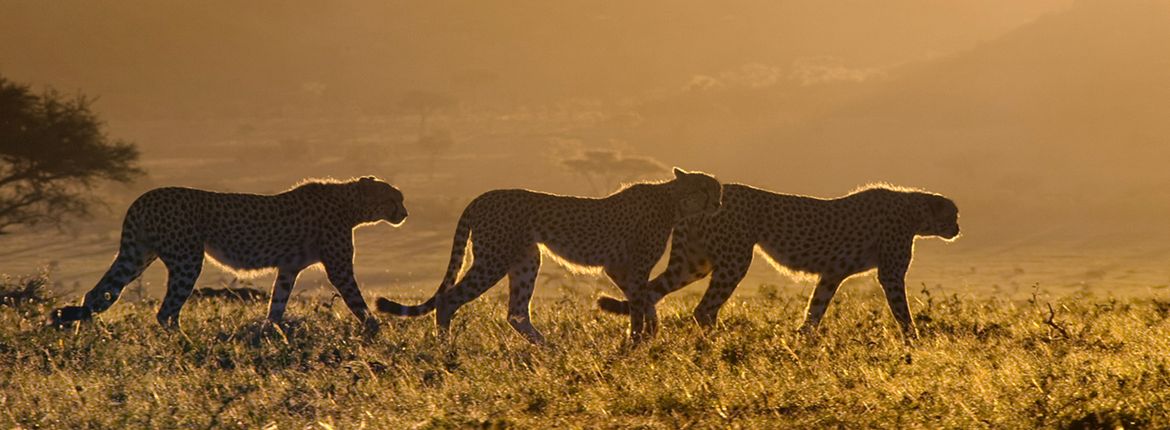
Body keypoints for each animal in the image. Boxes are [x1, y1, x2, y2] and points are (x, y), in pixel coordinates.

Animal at [50, 176, 407, 334]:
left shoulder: (288, 269)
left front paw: (270, 333)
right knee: (166, 312)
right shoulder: (339, 268)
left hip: (136, 255)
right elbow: (357, 301)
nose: (405, 213)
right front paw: (376, 329)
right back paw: (184, 342)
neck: (352, 204)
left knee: (97, 294)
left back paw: (81, 331)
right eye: (394, 198)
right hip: (187, 260)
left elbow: (277, 304)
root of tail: (144, 198)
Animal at [374, 167, 720, 343]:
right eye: (706, 189)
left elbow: (645, 297)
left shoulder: (619, 269)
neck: (674, 201)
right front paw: (639, 340)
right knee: (448, 300)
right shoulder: (630, 268)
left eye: (717, 191)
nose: (718, 203)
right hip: (493, 260)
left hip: (527, 260)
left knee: (516, 312)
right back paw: (445, 348)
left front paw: (648, 335)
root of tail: (482, 196)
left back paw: (547, 348)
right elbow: (641, 300)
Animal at [599, 183, 954, 343]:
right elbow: (902, 310)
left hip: (692, 263)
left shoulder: (832, 273)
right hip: (734, 261)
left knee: (649, 291)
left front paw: (802, 339)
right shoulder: (890, 274)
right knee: (703, 309)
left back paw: (644, 337)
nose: (958, 228)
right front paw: (916, 340)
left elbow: (816, 308)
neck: (914, 210)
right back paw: (719, 343)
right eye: (952, 214)